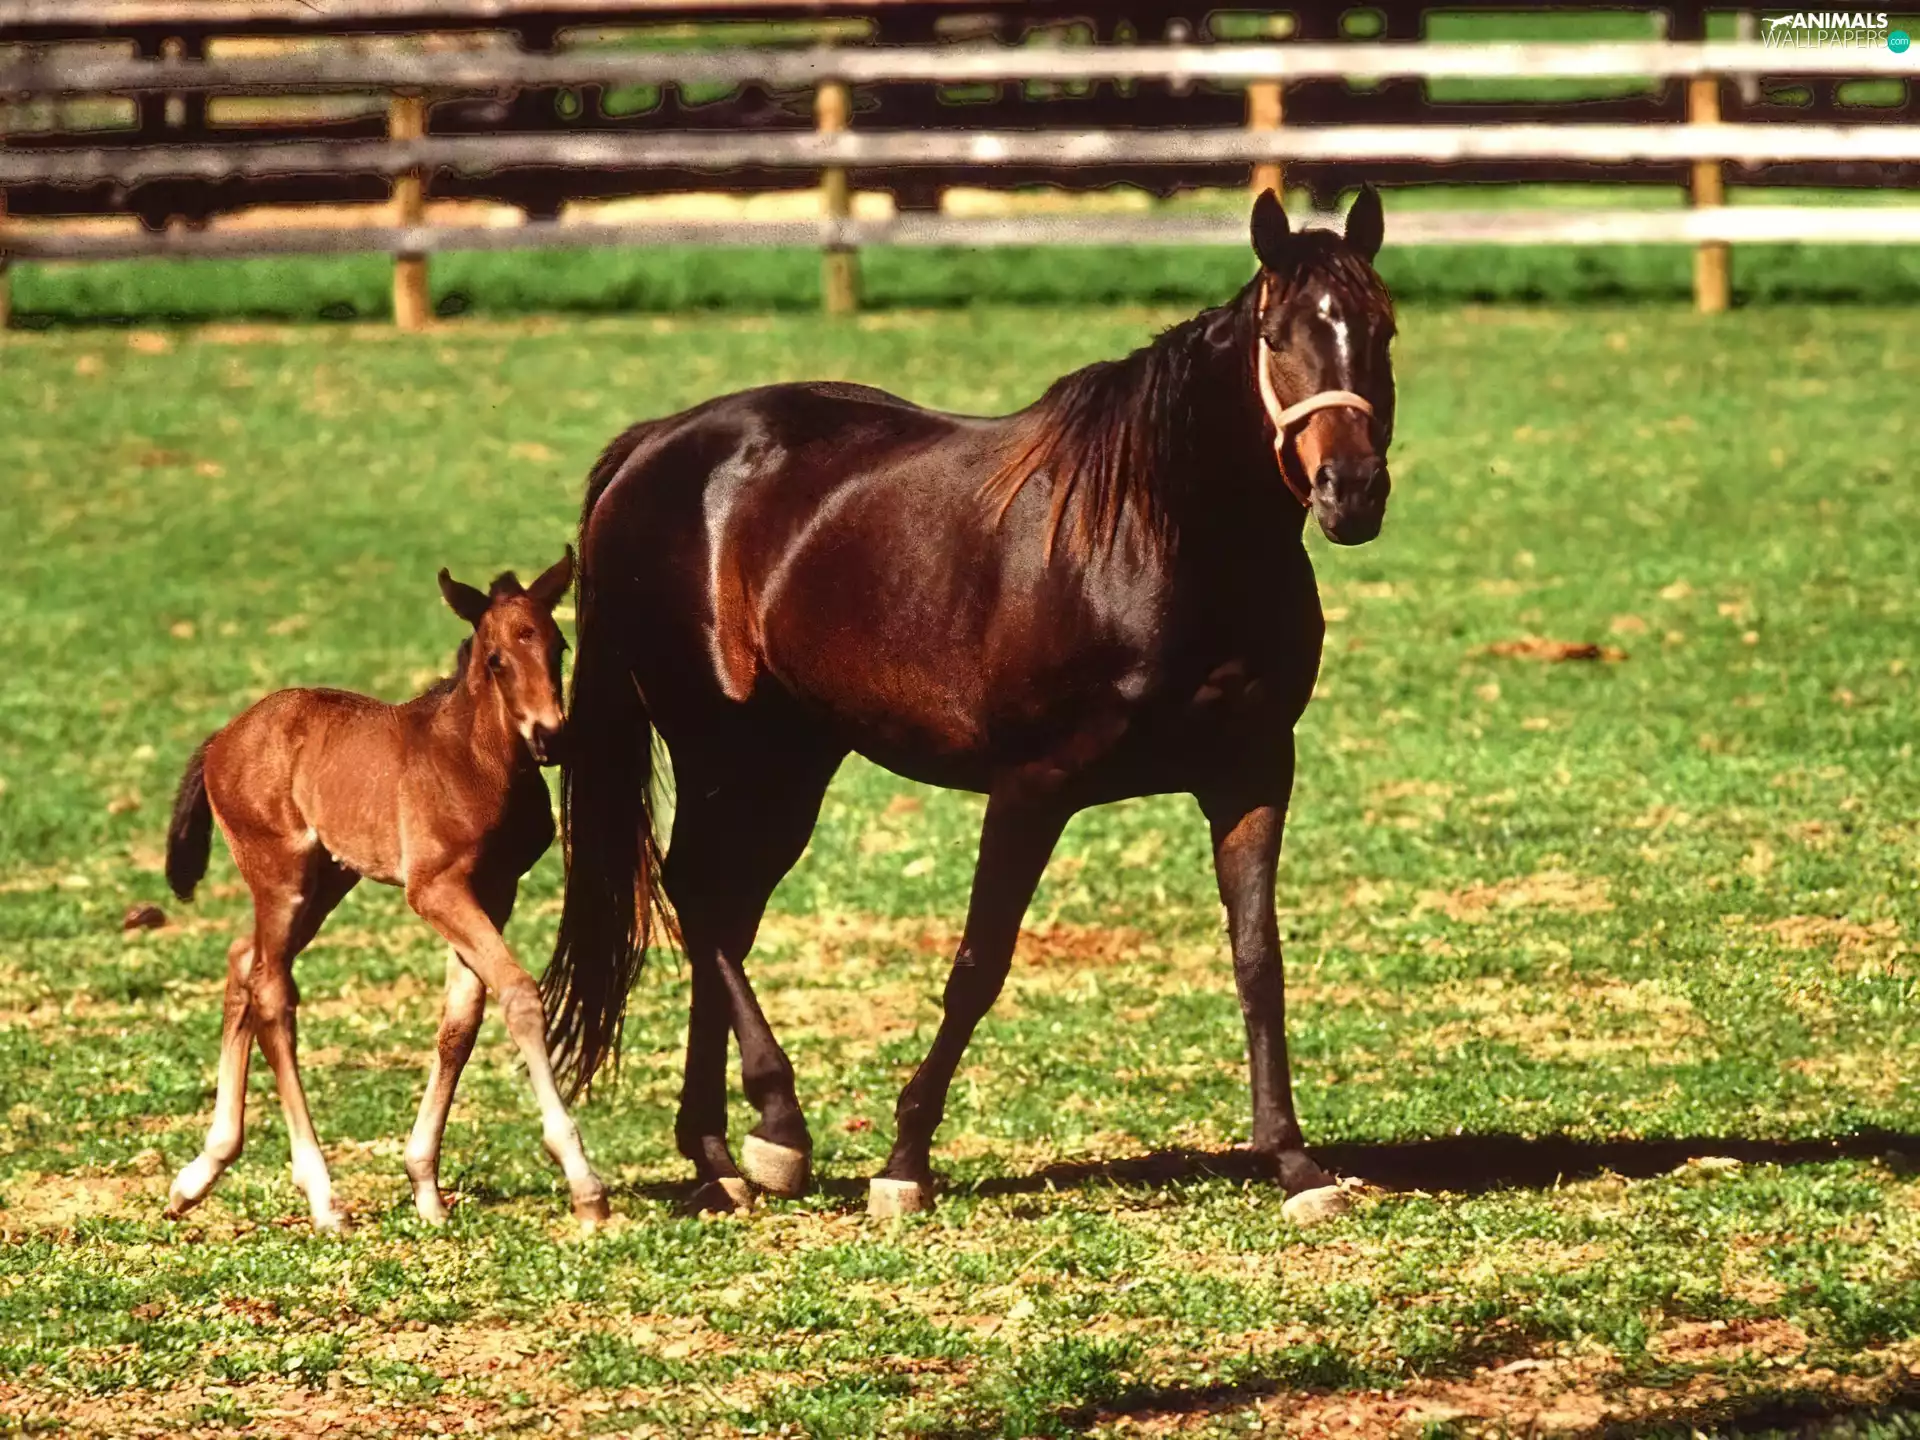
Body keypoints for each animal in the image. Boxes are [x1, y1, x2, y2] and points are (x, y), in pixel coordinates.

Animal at [161, 551, 611, 1231]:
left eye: (558, 645)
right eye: (496, 658)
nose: (551, 736)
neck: (472, 761)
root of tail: (222, 739)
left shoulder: (494, 889)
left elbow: (460, 1023)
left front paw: (425, 1186)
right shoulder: (435, 890)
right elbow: (518, 994)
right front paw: (584, 1184)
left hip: (328, 878)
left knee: (244, 960)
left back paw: (201, 1172)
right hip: (281, 874)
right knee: (272, 991)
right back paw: (323, 1198)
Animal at [544, 188, 1397, 1223]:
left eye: (1382, 331)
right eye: (1279, 337)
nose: (1351, 492)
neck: (1157, 539)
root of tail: (656, 446)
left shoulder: (1253, 774)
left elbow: (1256, 961)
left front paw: (1295, 1164)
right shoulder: (1031, 787)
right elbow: (978, 965)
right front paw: (905, 1162)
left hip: (790, 761)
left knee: (724, 910)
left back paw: (720, 1151)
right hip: (719, 744)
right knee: (700, 900)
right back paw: (777, 1125)